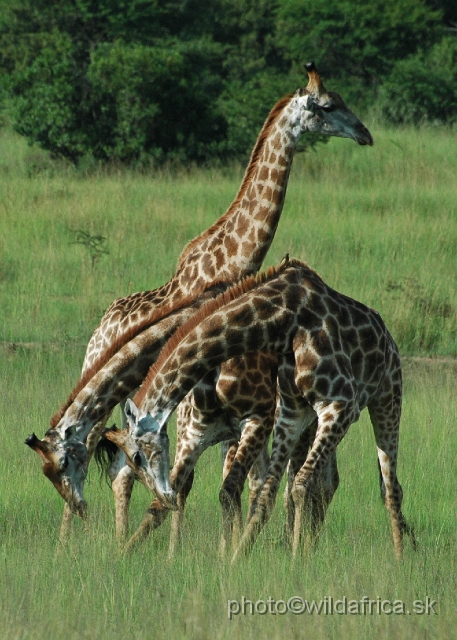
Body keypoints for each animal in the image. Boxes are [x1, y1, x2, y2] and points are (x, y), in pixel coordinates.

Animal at [26, 63, 372, 544]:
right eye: (327, 105)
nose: (364, 133)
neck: (230, 261)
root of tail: (100, 327)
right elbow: (191, 480)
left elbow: (233, 478)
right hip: (105, 397)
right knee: (105, 461)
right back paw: (77, 541)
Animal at [105, 258, 416, 560]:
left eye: (137, 457)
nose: (165, 495)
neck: (281, 319)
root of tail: (386, 335)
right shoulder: (284, 414)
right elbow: (261, 493)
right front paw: (127, 554)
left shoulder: (335, 404)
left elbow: (272, 487)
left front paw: (289, 561)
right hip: (312, 420)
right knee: (322, 484)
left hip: (386, 397)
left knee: (388, 487)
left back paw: (398, 559)